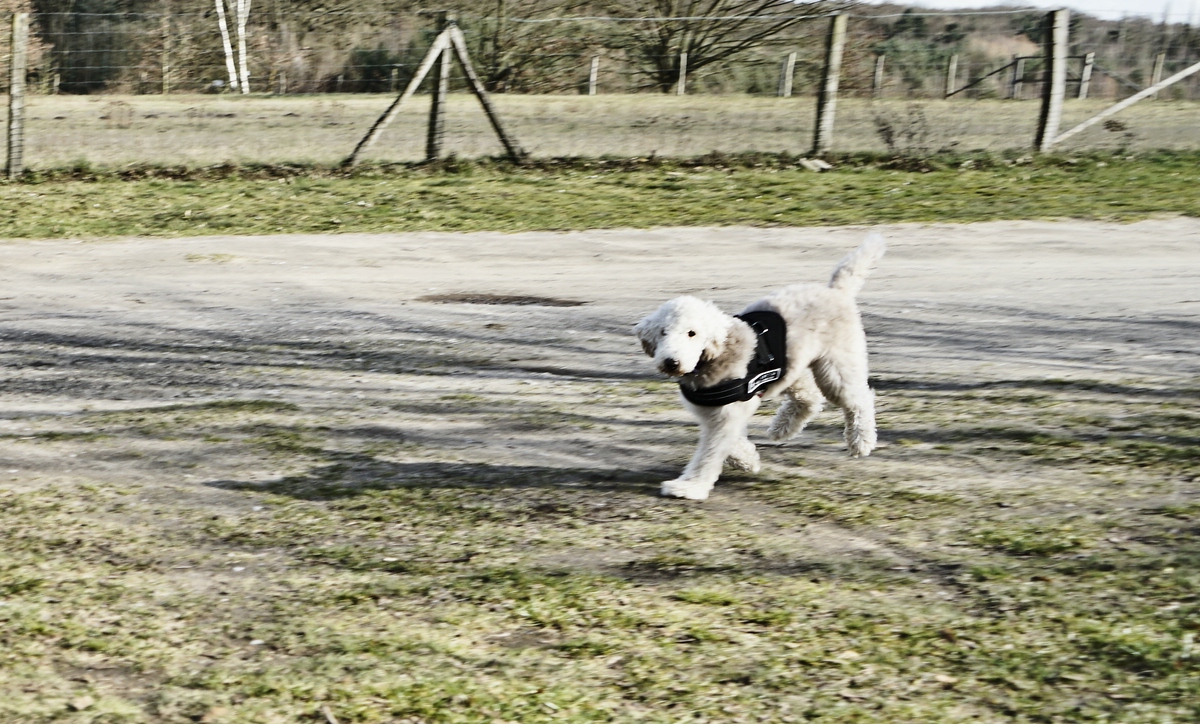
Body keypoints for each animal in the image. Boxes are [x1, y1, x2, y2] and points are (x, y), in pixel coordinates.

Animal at [633, 235, 888, 501]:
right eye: (663, 332)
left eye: (692, 333)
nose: (671, 362)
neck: (714, 356)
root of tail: (834, 291)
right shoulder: (714, 412)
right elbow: (729, 441)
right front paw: (748, 460)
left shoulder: (728, 412)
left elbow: (710, 452)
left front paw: (690, 486)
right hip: (791, 368)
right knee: (809, 397)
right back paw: (782, 428)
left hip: (836, 367)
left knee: (859, 400)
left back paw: (861, 441)